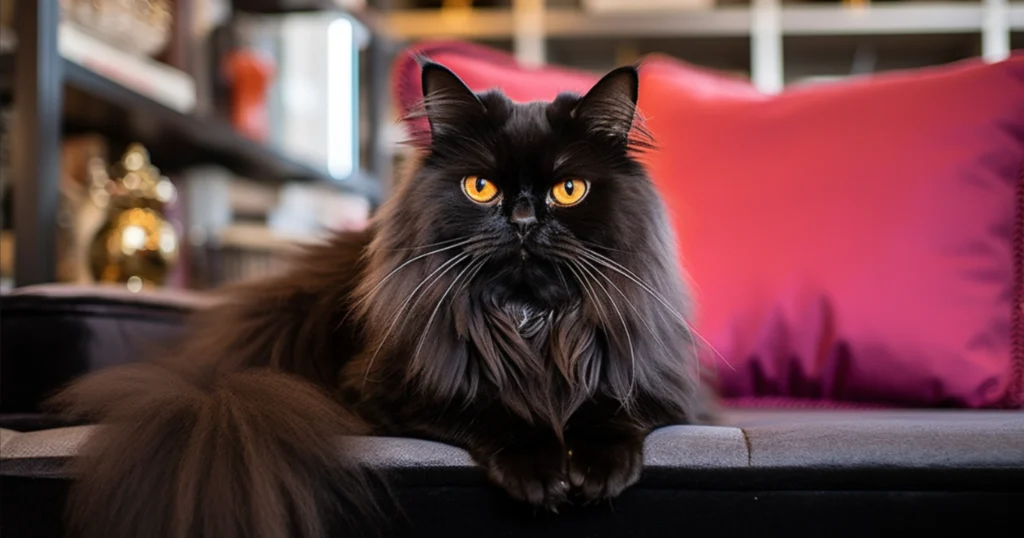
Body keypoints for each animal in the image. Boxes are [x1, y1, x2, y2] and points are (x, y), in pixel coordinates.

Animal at [51, 58, 712, 536]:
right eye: (481, 187)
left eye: (568, 189)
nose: (523, 219)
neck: (526, 320)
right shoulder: (394, 387)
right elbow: (491, 408)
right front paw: (542, 470)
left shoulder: (661, 386)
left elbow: (611, 406)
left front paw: (596, 471)